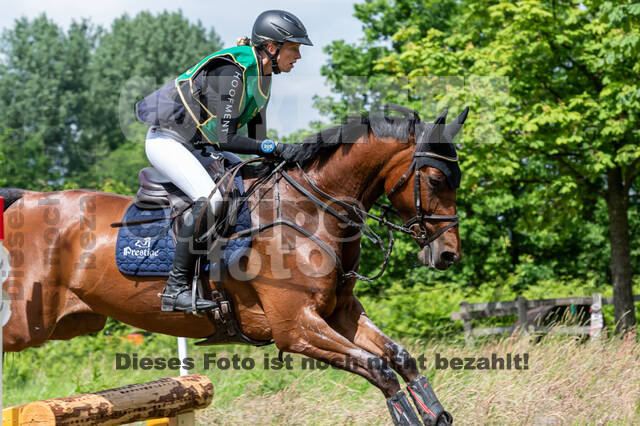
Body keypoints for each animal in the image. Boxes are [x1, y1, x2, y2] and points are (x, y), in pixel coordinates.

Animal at [1, 106, 467, 426]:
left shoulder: (341, 314)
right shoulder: (296, 326)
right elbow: (379, 369)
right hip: (26, 323)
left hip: (70, 323)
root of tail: (25, 200)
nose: (448, 255)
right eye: (436, 180)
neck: (311, 211)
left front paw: (438, 414)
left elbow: (401, 358)